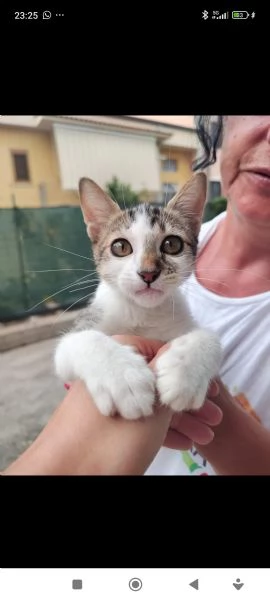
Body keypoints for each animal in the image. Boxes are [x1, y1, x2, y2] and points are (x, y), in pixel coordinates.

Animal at [55, 172, 221, 418]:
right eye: (120, 247)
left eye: (172, 244)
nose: (148, 273)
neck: (143, 313)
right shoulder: (83, 328)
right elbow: (78, 340)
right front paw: (122, 379)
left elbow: (211, 338)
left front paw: (183, 375)